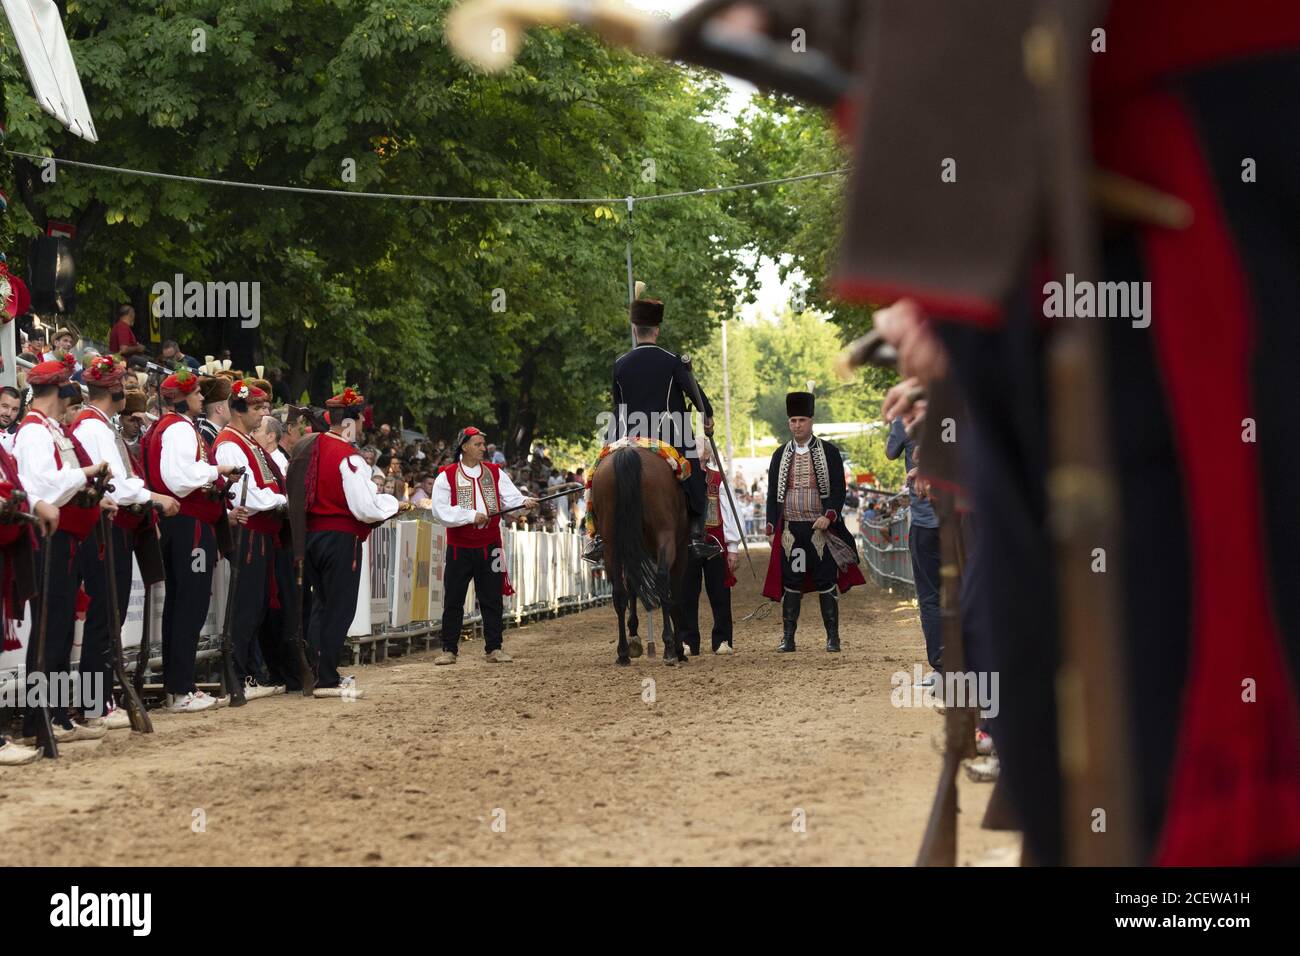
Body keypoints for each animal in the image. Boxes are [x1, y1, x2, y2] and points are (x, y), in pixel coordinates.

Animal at [590, 447, 691, 665]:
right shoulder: (681, 552)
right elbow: (676, 597)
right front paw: (679, 648)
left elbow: (632, 586)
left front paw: (634, 637)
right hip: (665, 536)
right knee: (662, 582)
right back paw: (670, 649)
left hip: (612, 544)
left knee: (619, 593)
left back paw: (622, 653)